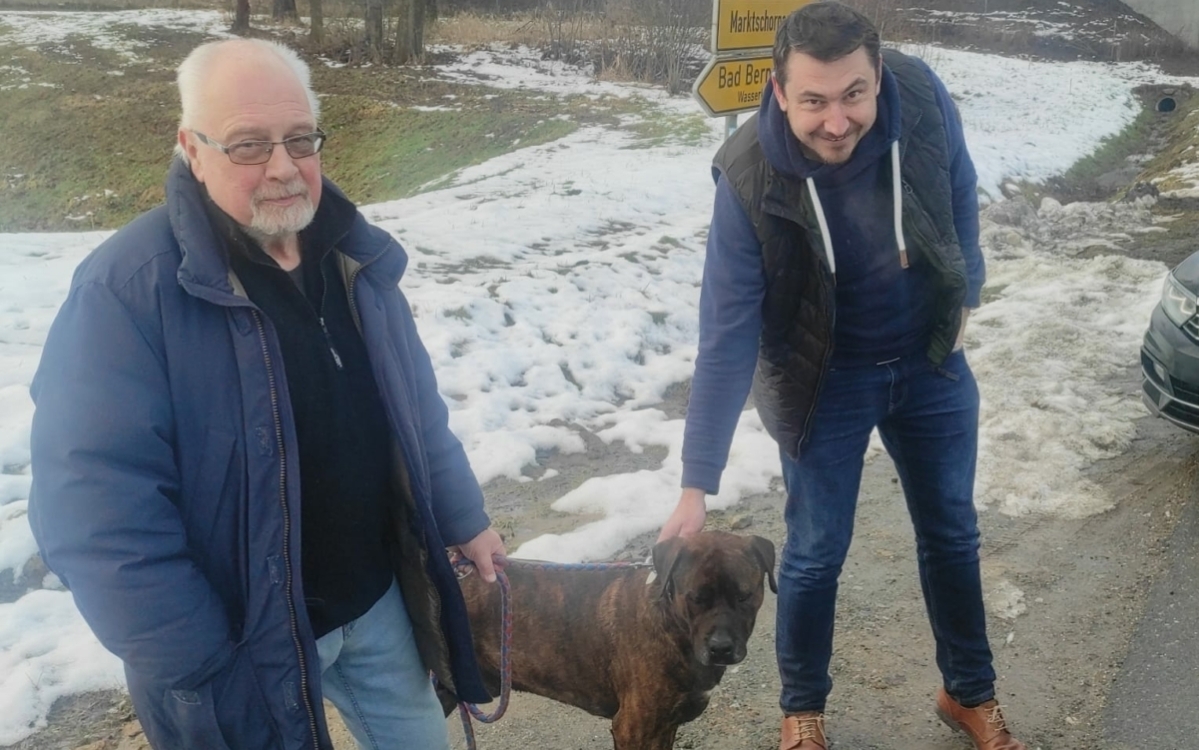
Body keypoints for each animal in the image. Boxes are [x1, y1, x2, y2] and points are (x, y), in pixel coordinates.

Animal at [448, 529, 776, 742]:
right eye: (695, 597)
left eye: (744, 596)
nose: (721, 648)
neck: (671, 625)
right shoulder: (633, 728)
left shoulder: (664, 726)